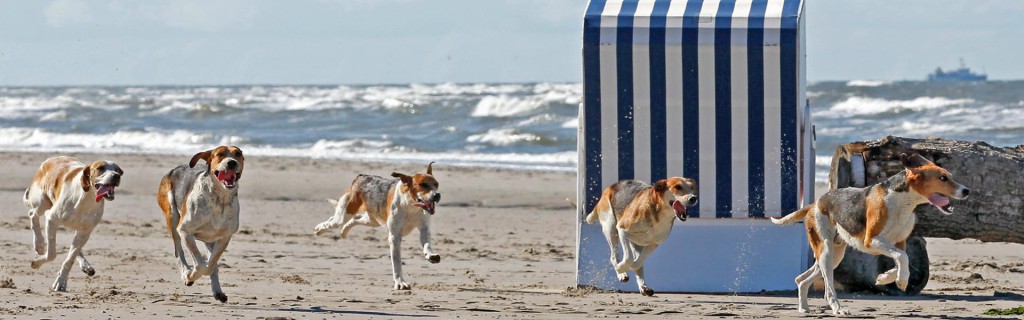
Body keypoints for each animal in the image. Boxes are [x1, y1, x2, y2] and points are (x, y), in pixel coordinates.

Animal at [24, 155, 122, 291]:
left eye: (117, 170)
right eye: (100, 168)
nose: (116, 176)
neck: (87, 198)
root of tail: (51, 159)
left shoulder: (85, 232)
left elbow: (70, 259)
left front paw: (61, 281)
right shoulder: (51, 220)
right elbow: (52, 254)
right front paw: (37, 262)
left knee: (75, 248)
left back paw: (86, 266)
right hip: (42, 202)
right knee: (32, 214)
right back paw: (39, 243)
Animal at [155, 145, 243, 301]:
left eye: (238, 154)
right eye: (220, 154)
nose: (232, 162)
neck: (219, 199)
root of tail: (173, 170)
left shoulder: (224, 237)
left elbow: (211, 264)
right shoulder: (185, 231)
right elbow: (201, 263)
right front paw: (190, 276)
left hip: (210, 239)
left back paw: (217, 291)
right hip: (172, 217)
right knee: (178, 251)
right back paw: (186, 272)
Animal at [311, 162, 440, 289]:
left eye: (436, 184)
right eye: (423, 185)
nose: (437, 195)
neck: (411, 205)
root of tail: (361, 177)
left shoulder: (424, 229)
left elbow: (427, 244)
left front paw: (430, 255)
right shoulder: (394, 237)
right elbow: (397, 262)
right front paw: (400, 282)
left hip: (373, 221)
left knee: (355, 219)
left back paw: (344, 231)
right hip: (345, 214)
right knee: (333, 221)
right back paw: (319, 229)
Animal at [770, 153, 970, 313]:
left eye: (949, 176)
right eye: (943, 178)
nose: (966, 190)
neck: (901, 201)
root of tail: (815, 204)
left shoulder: (899, 242)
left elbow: (901, 259)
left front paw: (886, 278)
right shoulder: (871, 241)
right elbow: (902, 257)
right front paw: (901, 280)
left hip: (833, 256)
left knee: (801, 280)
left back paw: (804, 308)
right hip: (826, 252)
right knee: (828, 290)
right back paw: (838, 309)